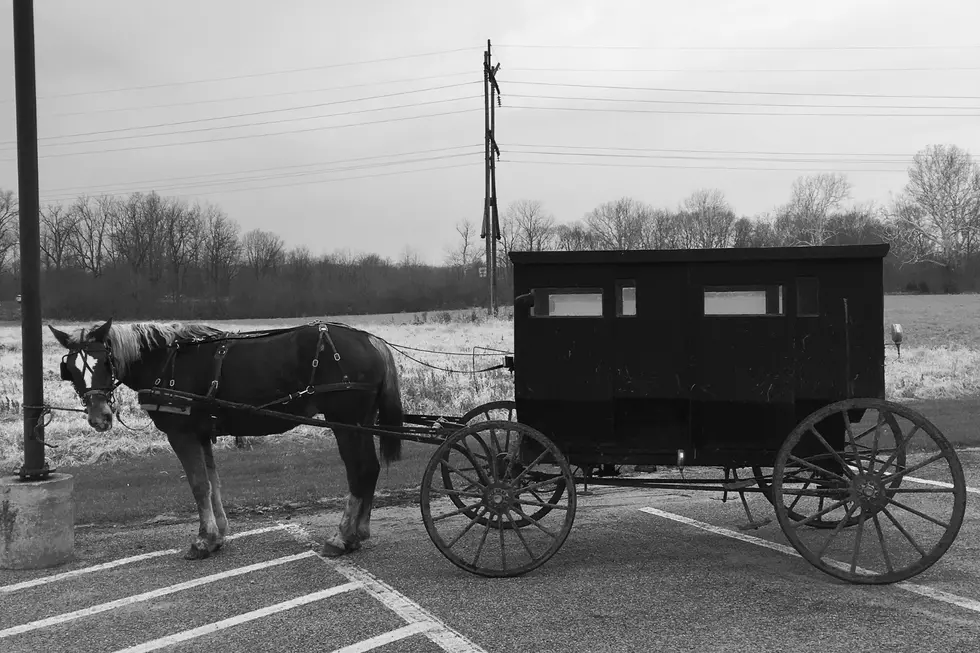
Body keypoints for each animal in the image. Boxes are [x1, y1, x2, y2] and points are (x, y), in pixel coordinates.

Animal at [48, 318, 402, 560]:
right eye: (72, 369)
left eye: (104, 361)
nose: (99, 418)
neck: (166, 362)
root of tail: (372, 341)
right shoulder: (203, 434)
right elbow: (212, 483)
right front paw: (218, 535)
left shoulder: (182, 434)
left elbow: (198, 485)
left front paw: (204, 540)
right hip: (362, 422)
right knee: (370, 470)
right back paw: (358, 532)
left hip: (347, 422)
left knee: (360, 470)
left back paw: (342, 537)